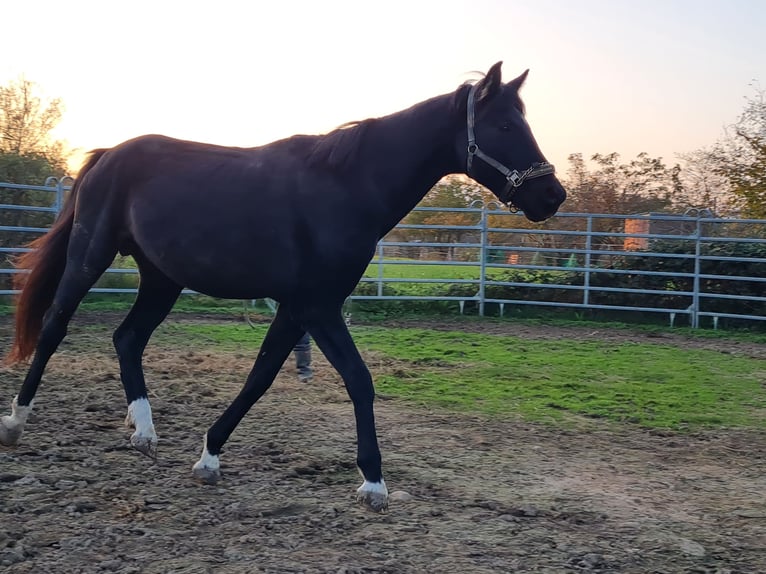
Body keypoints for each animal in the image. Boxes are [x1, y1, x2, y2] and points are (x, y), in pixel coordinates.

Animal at [0, 63, 564, 512]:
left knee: (127, 339)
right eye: (505, 124)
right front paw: (373, 484)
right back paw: (16, 423)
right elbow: (359, 380)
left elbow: (261, 376)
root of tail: (106, 154)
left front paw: (209, 457)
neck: (344, 186)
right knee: (54, 328)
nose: (552, 195)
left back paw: (144, 432)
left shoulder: (296, 309)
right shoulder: (318, 307)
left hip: (162, 279)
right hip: (89, 257)